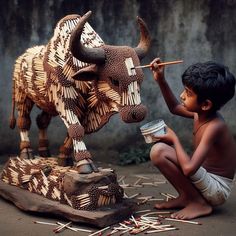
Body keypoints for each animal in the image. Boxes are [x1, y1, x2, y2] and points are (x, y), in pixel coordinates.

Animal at [9, 11, 151, 173]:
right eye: (114, 80)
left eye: (140, 79)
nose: (138, 113)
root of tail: (20, 59)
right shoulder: (65, 101)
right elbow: (75, 128)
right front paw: (85, 162)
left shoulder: (82, 109)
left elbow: (74, 131)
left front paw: (64, 157)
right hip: (23, 96)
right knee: (24, 121)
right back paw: (27, 152)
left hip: (47, 104)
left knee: (41, 121)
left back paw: (44, 151)